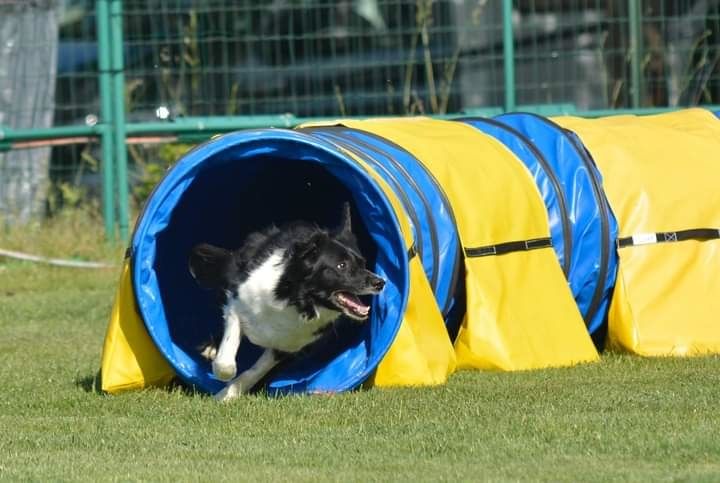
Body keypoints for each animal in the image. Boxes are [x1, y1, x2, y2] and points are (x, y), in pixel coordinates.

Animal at [188, 202, 386, 402]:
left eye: (362, 263)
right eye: (342, 266)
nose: (380, 282)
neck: (294, 299)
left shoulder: (291, 345)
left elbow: (256, 371)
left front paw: (229, 394)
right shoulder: (237, 301)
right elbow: (226, 360)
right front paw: (221, 379)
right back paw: (210, 348)